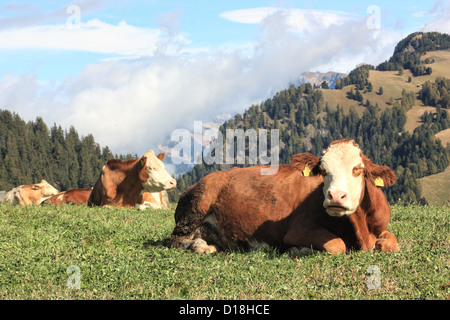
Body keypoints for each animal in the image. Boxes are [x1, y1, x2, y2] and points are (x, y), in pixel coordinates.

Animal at [168, 139, 398, 254]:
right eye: (323, 170)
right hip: (198, 205)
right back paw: (199, 247)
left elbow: (392, 243)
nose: (335, 197)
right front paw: (299, 250)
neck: (361, 231)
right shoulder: (298, 230)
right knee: (175, 240)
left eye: (357, 169)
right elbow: (337, 245)